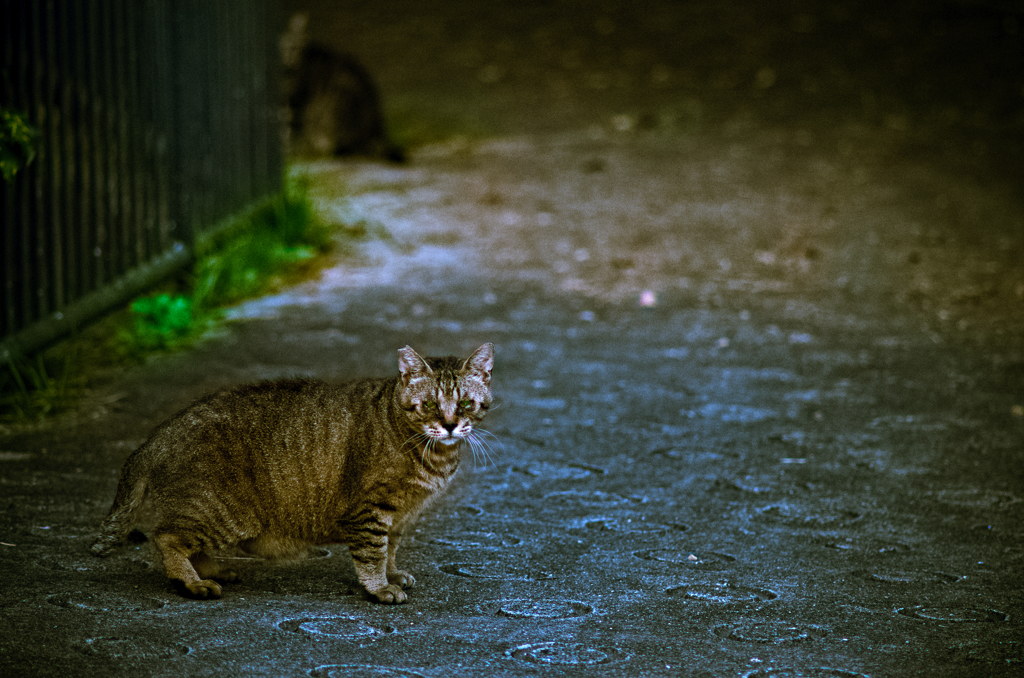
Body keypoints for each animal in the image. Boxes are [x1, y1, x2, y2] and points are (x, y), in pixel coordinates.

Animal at [92, 346, 495, 606]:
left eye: (464, 403)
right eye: (429, 404)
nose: (449, 424)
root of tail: (162, 431)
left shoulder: (398, 514)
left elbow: (390, 549)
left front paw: (392, 574)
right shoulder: (370, 509)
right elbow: (372, 553)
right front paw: (379, 588)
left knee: (189, 542)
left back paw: (213, 571)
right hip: (223, 512)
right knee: (166, 536)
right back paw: (192, 582)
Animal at [284, 12, 407, 163]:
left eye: (294, 47)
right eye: (284, 47)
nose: (290, 58)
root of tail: (377, 132)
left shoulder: (296, 98)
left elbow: (289, 127)